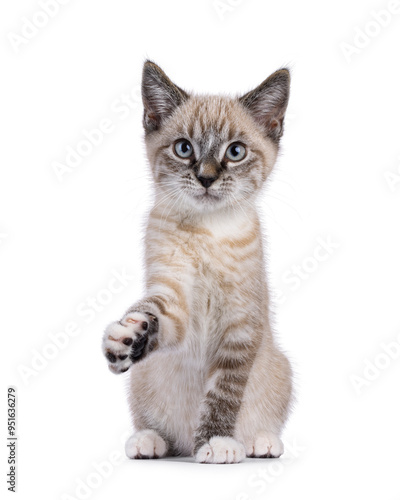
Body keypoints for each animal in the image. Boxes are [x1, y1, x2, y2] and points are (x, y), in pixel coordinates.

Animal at [101, 60, 292, 462]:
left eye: (235, 152)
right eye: (183, 148)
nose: (206, 178)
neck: (208, 232)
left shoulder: (240, 326)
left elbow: (223, 393)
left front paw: (216, 441)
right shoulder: (174, 297)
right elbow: (155, 313)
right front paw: (129, 335)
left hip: (282, 368)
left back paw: (258, 441)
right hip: (143, 381)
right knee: (165, 434)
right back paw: (149, 440)